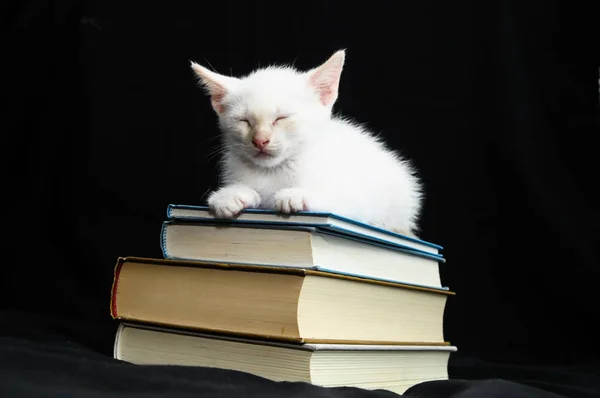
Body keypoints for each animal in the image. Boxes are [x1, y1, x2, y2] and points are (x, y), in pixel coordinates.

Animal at [191, 49, 422, 236]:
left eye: (281, 118)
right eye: (244, 121)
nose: (260, 140)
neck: (274, 171)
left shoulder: (356, 202)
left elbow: (338, 203)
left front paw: (297, 195)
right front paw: (229, 195)